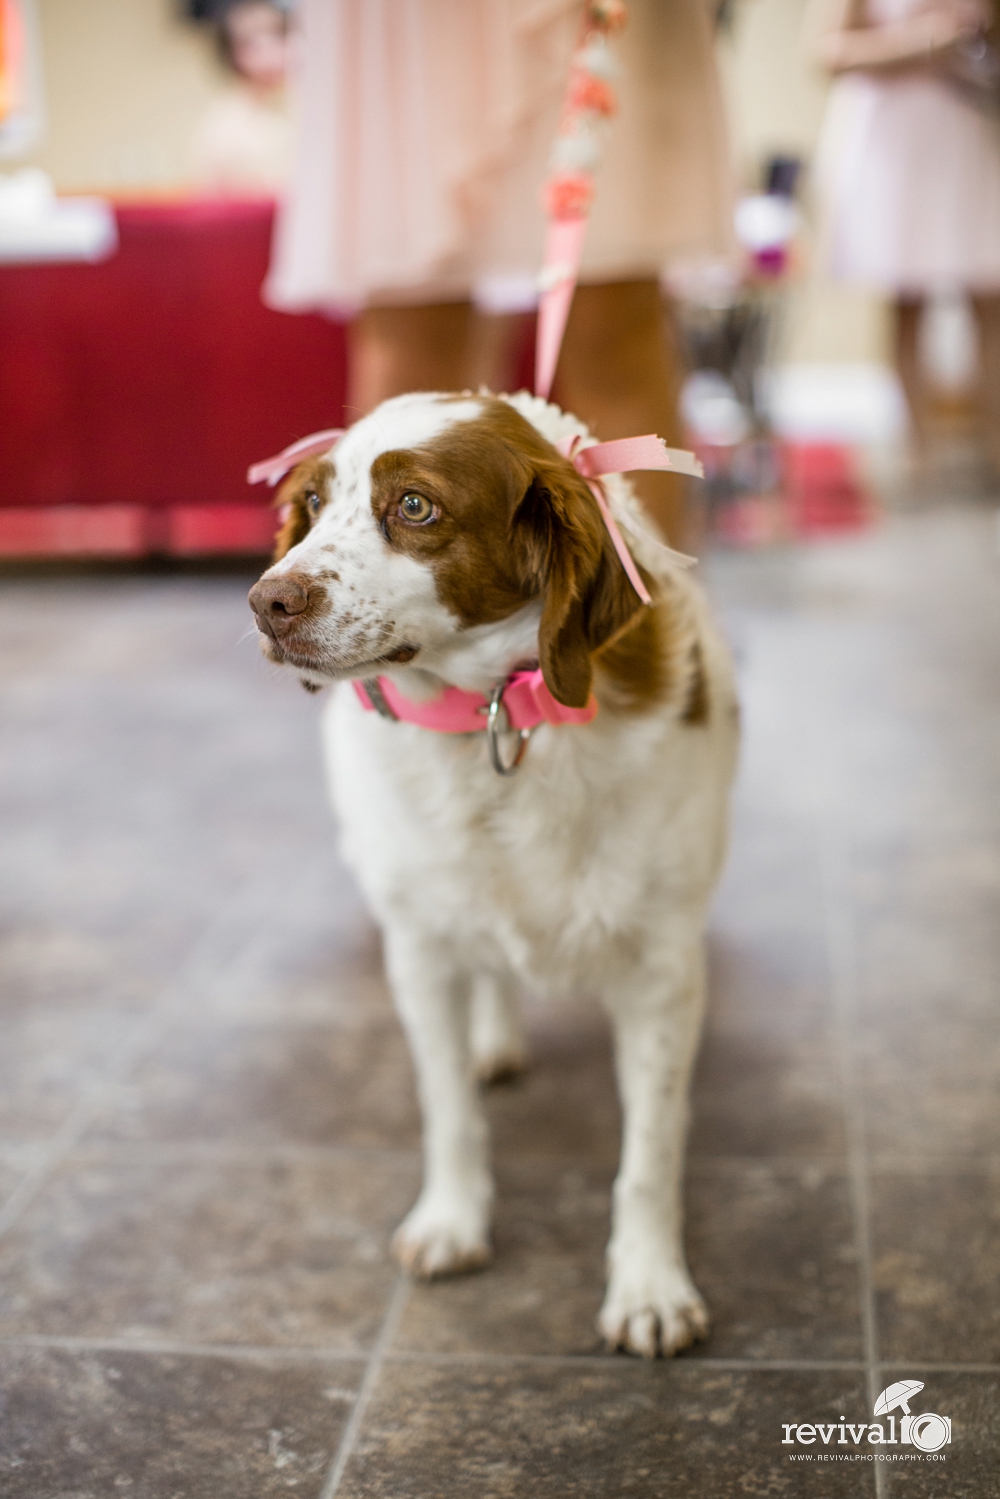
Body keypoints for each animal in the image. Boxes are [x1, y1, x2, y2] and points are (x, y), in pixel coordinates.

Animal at [247, 389, 740, 1361]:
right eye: (314, 503)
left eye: (415, 506)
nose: (266, 600)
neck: (497, 717)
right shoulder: (420, 947)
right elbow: (445, 1106)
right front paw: (452, 1219)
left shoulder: (663, 968)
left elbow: (652, 1145)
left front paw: (649, 1283)